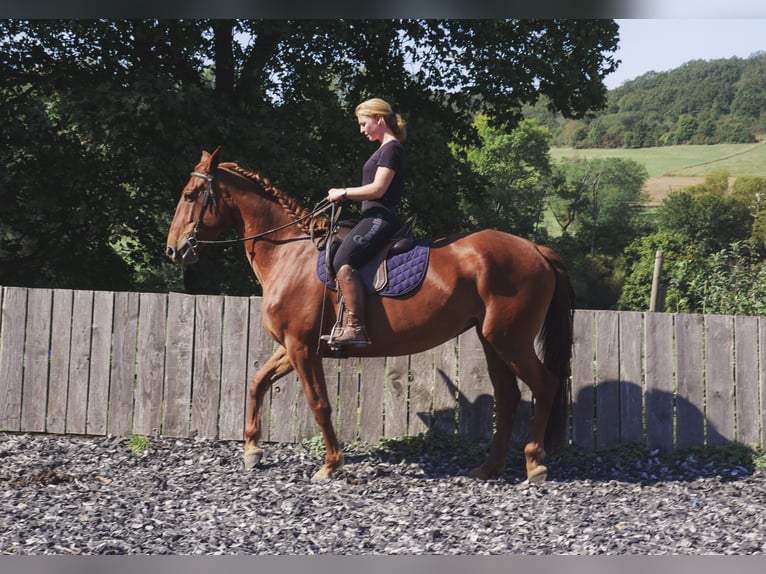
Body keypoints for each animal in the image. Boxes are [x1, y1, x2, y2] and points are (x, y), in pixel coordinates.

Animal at [168, 146, 576, 484]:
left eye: (190, 195)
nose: (175, 249)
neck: (289, 253)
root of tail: (536, 249)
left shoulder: (301, 348)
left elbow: (319, 403)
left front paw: (331, 464)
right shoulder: (294, 346)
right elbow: (257, 382)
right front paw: (252, 450)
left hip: (510, 339)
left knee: (546, 385)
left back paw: (534, 464)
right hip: (492, 340)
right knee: (508, 397)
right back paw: (489, 467)